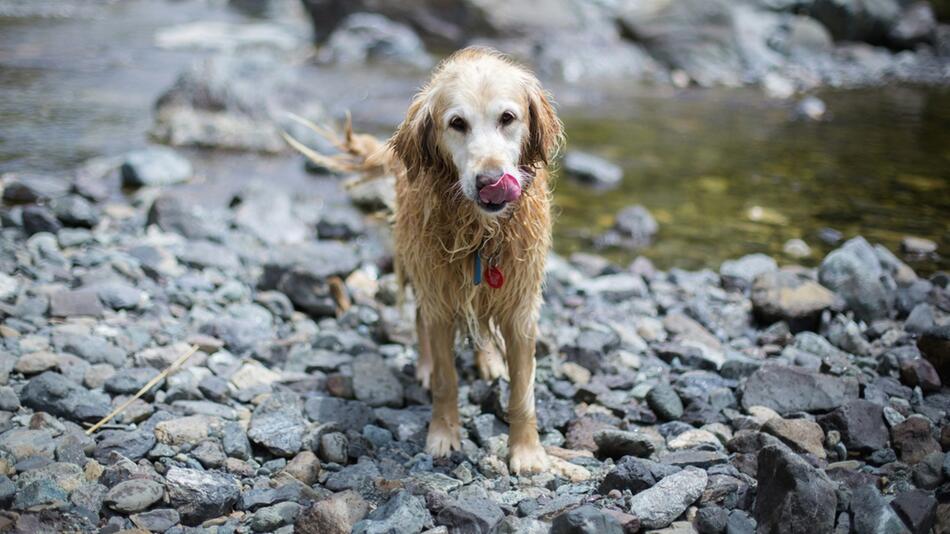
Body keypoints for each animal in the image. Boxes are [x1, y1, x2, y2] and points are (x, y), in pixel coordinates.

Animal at [290, 47, 568, 478]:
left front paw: (526, 451)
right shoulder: (440, 295)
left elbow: (522, 390)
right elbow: (445, 379)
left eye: (508, 118)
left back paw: (489, 360)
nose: (489, 180)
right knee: (422, 320)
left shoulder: (521, 306)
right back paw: (424, 367)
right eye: (457, 123)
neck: (480, 233)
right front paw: (443, 435)